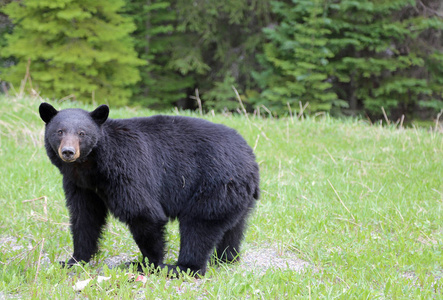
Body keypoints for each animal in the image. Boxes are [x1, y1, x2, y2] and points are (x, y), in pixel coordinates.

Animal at [39, 102, 260, 276]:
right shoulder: (80, 185)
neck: (90, 167)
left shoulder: (126, 169)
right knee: (233, 228)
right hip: (235, 194)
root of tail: (251, 160)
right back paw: (225, 258)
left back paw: (182, 268)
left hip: (215, 184)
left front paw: (147, 264)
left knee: (199, 225)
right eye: (59, 132)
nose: (68, 152)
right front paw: (73, 260)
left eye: (81, 133)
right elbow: (85, 217)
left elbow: (143, 213)